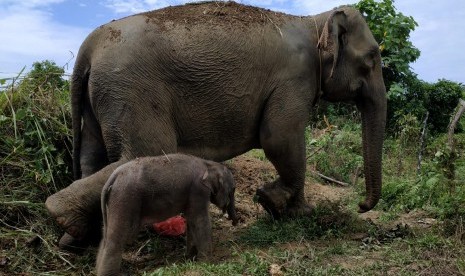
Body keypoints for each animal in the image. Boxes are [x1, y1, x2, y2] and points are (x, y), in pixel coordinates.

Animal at [46, 1, 384, 248]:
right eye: (371, 58)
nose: (361, 206)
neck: (315, 20)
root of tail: (88, 46)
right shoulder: (294, 79)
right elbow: (279, 138)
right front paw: (286, 208)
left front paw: (284, 208)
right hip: (129, 90)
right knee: (145, 154)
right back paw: (60, 216)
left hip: (99, 99)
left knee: (92, 159)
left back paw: (74, 238)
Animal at [96, 154, 237, 274]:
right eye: (233, 189)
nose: (234, 222)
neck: (208, 163)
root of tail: (113, 177)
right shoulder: (198, 191)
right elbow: (200, 221)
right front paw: (206, 263)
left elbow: (191, 221)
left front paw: (190, 259)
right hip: (124, 198)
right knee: (115, 239)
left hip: (114, 201)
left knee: (105, 238)